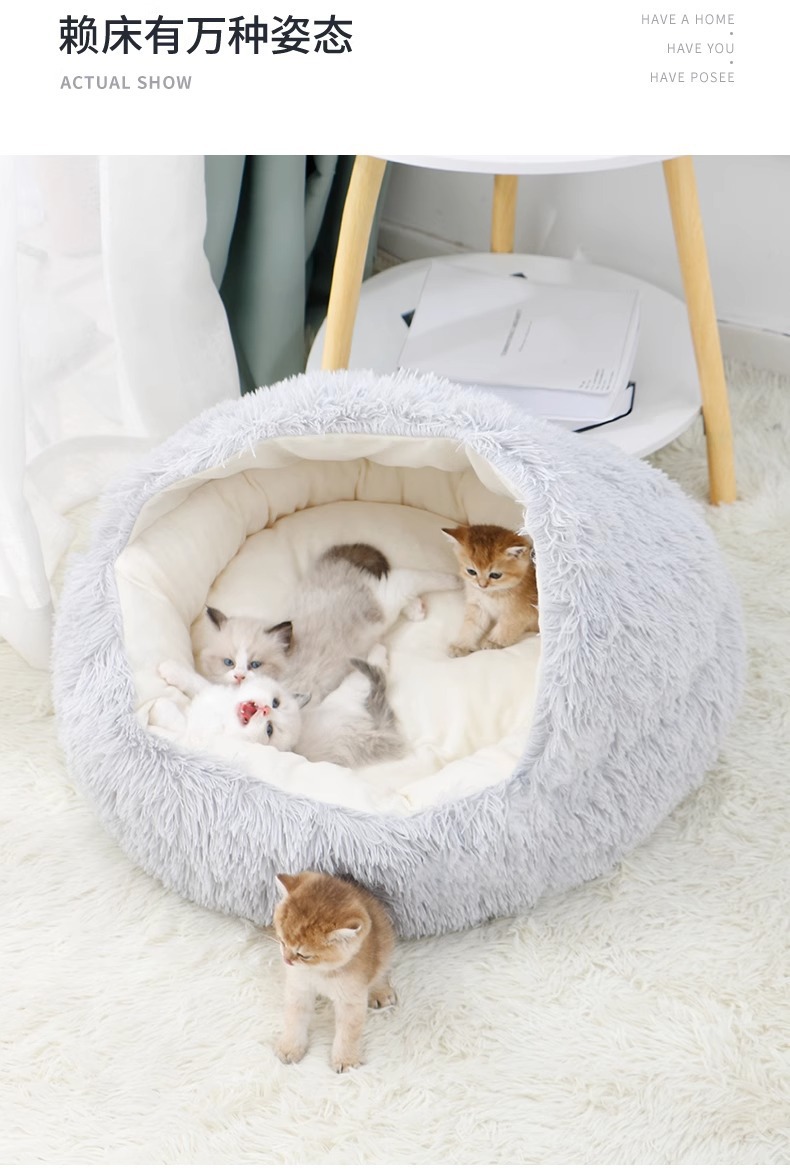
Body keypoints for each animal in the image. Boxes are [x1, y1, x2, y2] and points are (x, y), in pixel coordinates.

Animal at [156, 659, 308, 751]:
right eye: (276, 703)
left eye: (269, 730)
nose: (266, 709)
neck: (224, 717)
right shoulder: (210, 691)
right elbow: (194, 681)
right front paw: (171, 669)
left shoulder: (196, 738)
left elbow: (180, 725)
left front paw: (161, 707)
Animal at [273, 871, 396, 1073]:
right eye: (282, 941)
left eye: (304, 955)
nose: (287, 960)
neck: (320, 971)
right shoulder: (299, 989)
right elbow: (294, 1018)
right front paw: (290, 1048)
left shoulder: (351, 999)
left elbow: (348, 1031)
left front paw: (346, 1060)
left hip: (385, 944)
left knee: (381, 969)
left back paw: (380, 991)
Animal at [442, 523, 539, 657]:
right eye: (471, 571)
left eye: (495, 575)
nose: (482, 585)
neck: (492, 594)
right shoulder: (478, 607)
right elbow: (471, 626)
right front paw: (461, 645)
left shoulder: (520, 611)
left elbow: (506, 625)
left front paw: (493, 642)